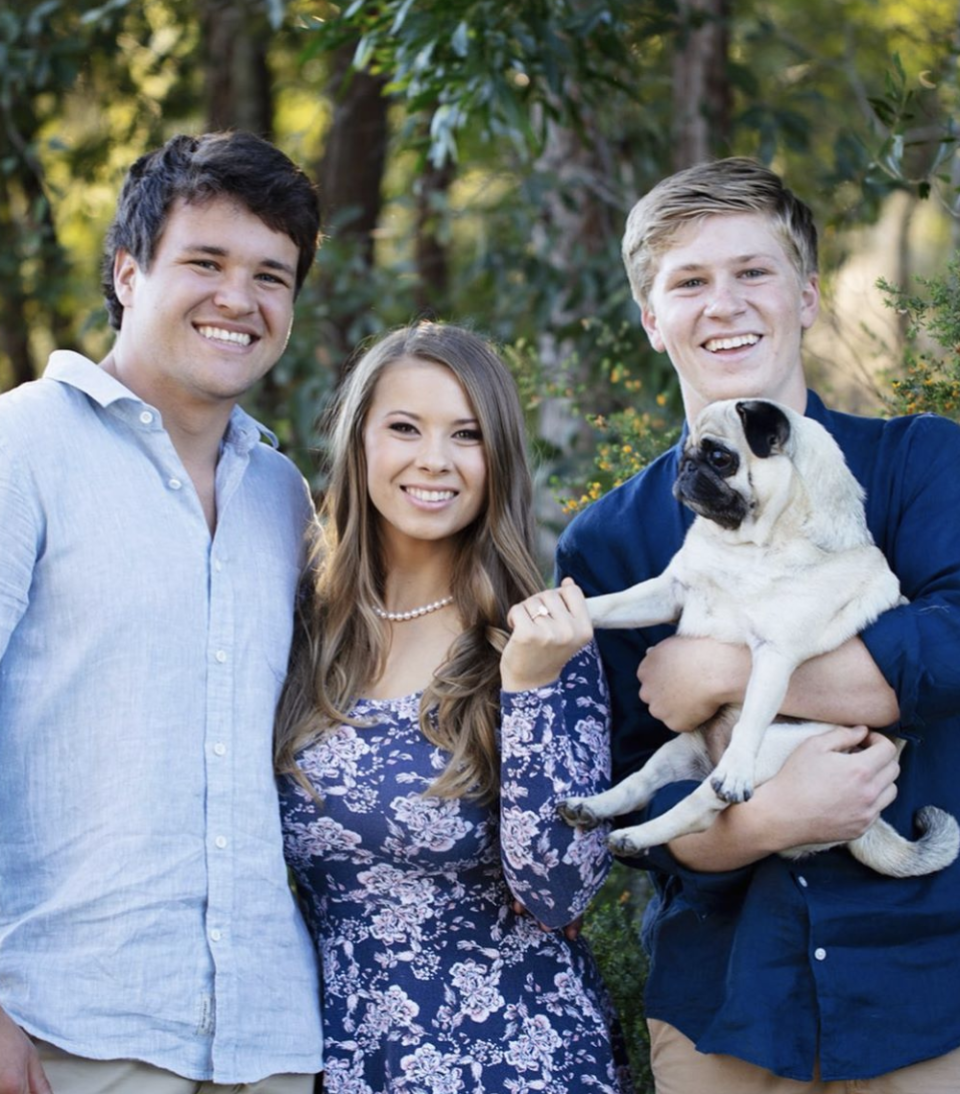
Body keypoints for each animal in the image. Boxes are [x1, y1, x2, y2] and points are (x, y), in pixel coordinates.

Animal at [564, 398, 960, 875]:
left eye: (720, 458)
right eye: (686, 456)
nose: (687, 467)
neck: (749, 547)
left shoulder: (774, 657)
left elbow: (752, 715)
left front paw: (736, 768)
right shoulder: (670, 591)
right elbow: (610, 604)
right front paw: (559, 609)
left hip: (772, 751)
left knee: (698, 807)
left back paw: (640, 832)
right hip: (676, 752)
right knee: (639, 784)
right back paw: (593, 807)